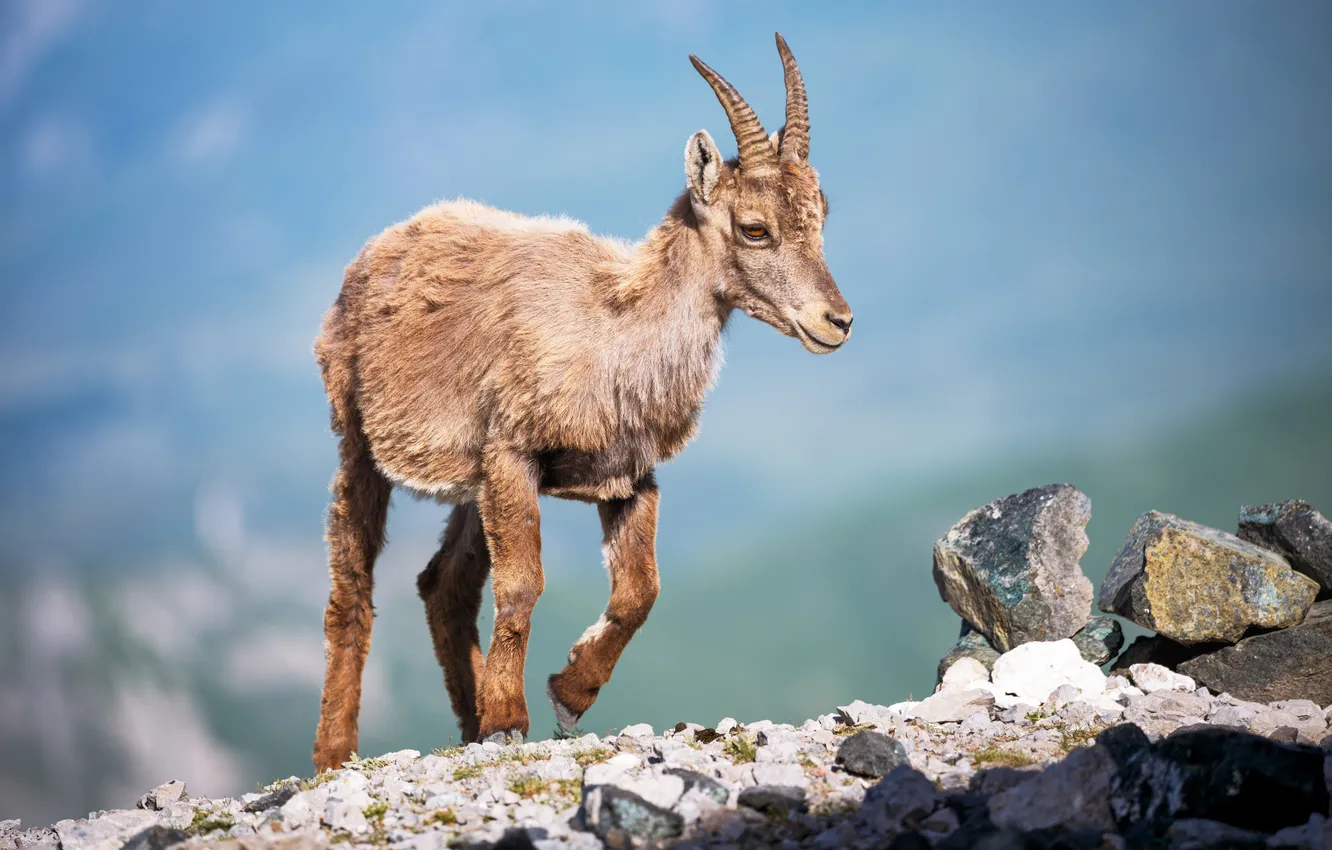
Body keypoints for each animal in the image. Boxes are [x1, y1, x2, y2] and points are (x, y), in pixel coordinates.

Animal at [311, 33, 852, 771]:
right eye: (754, 228)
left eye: (823, 217)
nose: (837, 321)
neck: (614, 330)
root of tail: (380, 246)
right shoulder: (513, 453)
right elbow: (522, 586)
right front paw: (511, 718)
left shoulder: (628, 475)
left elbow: (641, 589)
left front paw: (567, 694)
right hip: (360, 441)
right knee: (353, 589)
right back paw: (337, 751)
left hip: (470, 482)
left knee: (443, 585)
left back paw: (468, 717)